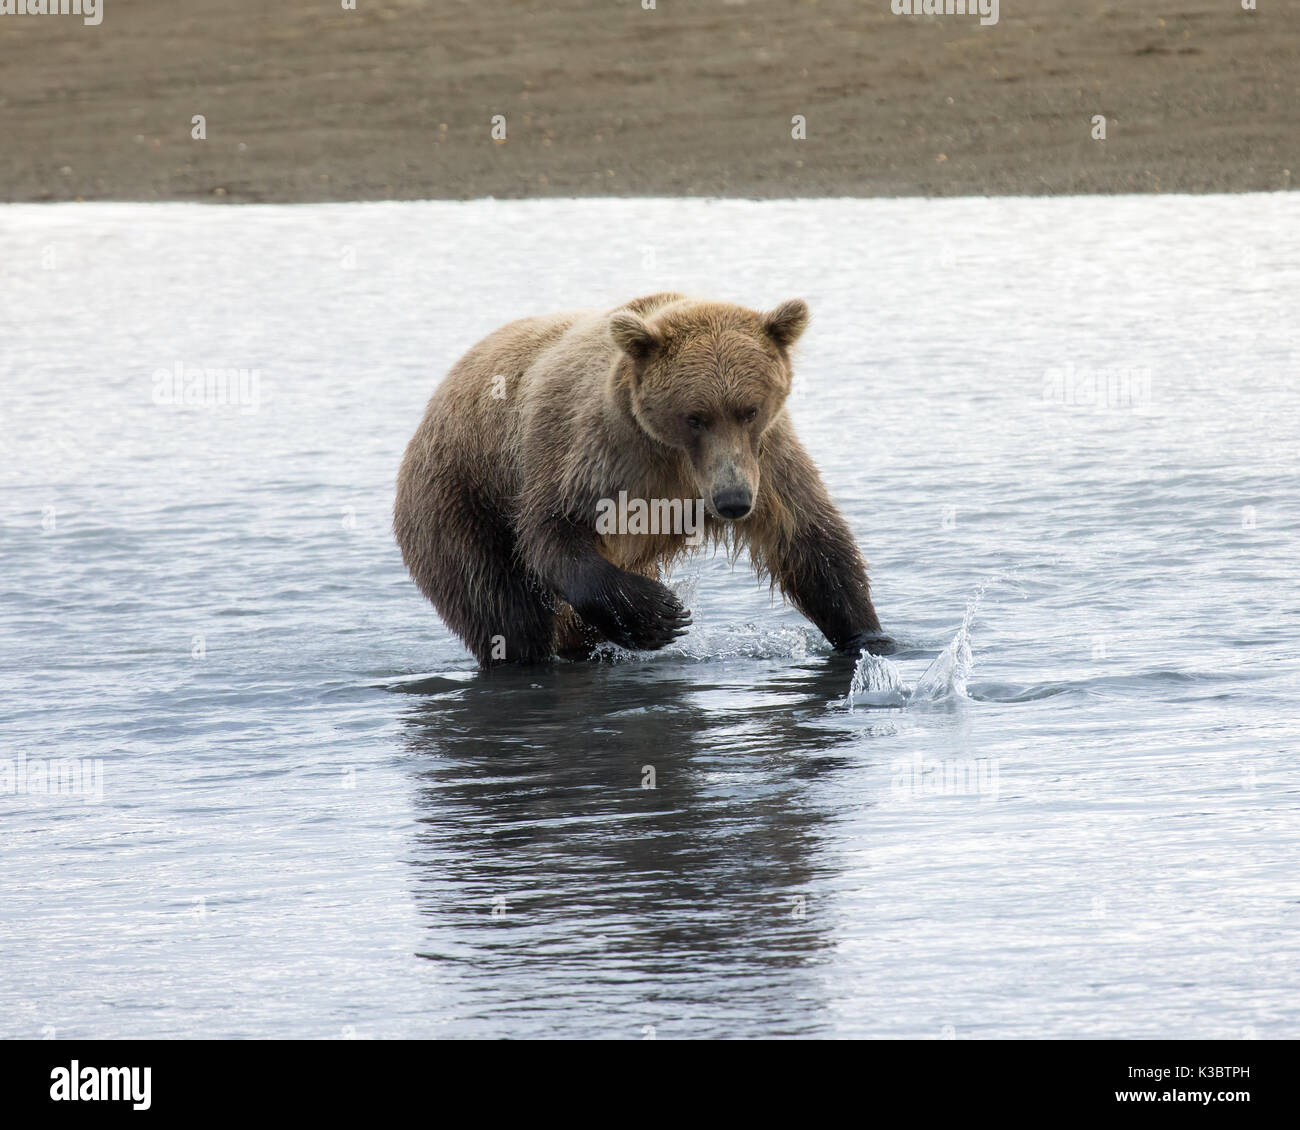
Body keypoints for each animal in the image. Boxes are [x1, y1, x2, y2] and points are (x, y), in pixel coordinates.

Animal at [394, 293, 892, 667]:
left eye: (749, 409)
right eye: (695, 416)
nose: (732, 501)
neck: (673, 457)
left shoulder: (765, 460)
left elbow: (808, 537)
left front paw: (869, 636)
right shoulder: (596, 452)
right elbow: (550, 531)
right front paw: (659, 615)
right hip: (460, 498)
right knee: (503, 610)